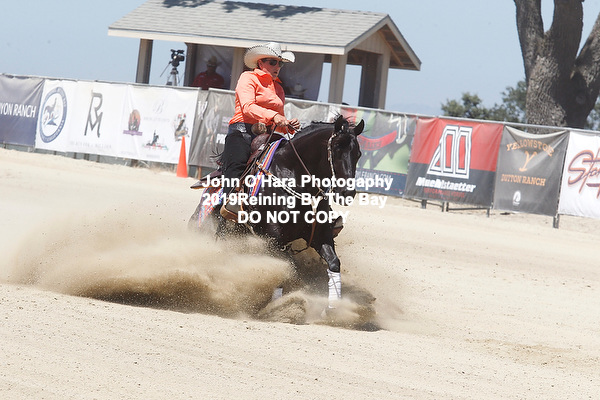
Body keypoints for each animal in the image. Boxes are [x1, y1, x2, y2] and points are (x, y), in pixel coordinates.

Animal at [189, 115, 364, 309]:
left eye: (358, 154)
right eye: (337, 148)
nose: (347, 192)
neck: (293, 175)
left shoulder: (320, 235)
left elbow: (333, 263)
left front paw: (334, 308)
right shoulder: (273, 239)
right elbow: (287, 268)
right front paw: (280, 307)